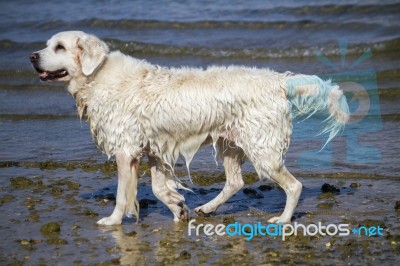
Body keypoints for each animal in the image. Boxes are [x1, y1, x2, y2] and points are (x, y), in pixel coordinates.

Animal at [29, 32, 348, 225]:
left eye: (59, 47)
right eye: (47, 44)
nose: (32, 56)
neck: (97, 75)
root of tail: (279, 81)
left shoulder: (126, 150)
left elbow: (123, 195)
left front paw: (113, 221)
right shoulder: (157, 149)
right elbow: (158, 188)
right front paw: (177, 207)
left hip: (262, 147)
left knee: (293, 185)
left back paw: (282, 220)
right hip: (231, 143)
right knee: (235, 182)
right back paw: (207, 208)